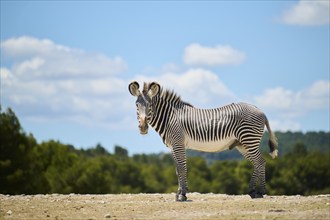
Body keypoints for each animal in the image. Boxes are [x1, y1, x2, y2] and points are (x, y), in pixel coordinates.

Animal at [129, 81, 278, 201]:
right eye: (136, 105)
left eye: (150, 105)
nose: (143, 127)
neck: (170, 118)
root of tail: (260, 110)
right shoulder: (173, 146)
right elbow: (177, 169)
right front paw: (180, 193)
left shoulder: (178, 143)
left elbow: (182, 168)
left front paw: (182, 195)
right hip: (243, 144)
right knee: (258, 163)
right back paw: (253, 191)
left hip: (249, 140)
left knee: (260, 162)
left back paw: (260, 191)